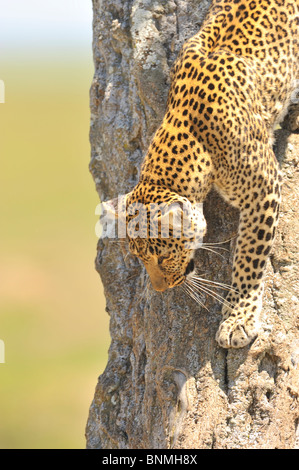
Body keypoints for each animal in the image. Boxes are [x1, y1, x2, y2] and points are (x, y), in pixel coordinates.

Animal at [103, 0, 299, 348]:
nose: (160, 289)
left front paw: (238, 319)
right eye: (139, 258)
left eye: (162, 258)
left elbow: (250, 254)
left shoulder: (263, 187)